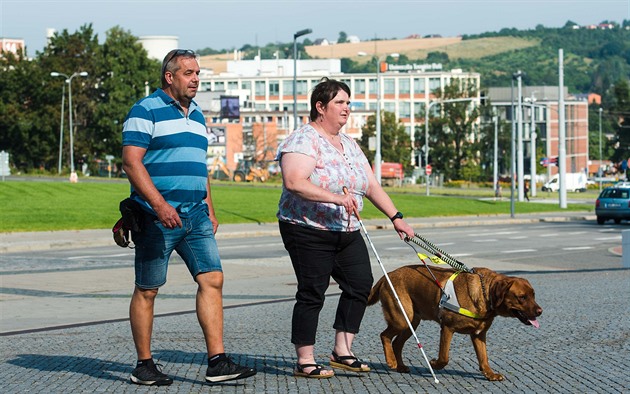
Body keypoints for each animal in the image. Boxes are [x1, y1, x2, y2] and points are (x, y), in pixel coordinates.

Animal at [370, 266, 544, 380]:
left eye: (533, 295)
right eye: (522, 297)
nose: (540, 311)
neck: (484, 294)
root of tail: (386, 276)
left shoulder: (479, 334)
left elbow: (484, 358)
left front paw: (489, 374)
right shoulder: (447, 328)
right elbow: (444, 357)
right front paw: (434, 363)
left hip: (412, 322)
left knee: (396, 343)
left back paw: (399, 366)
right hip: (401, 318)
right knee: (384, 335)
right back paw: (391, 361)